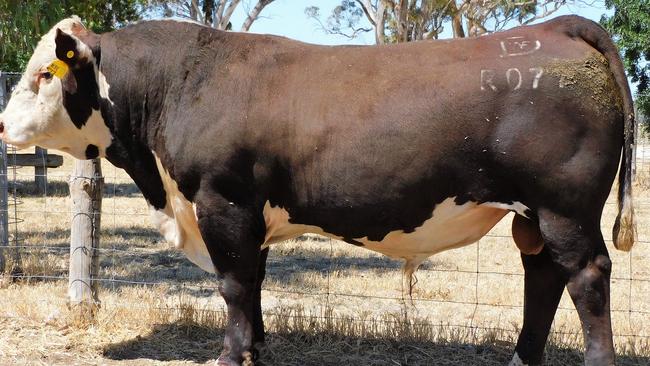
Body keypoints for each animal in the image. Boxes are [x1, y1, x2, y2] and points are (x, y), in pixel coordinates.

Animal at [0, 15, 636, 366]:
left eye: (43, 74)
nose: (3, 125)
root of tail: (554, 27)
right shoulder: (249, 215)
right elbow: (253, 283)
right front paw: (256, 349)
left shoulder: (222, 201)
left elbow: (234, 285)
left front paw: (229, 355)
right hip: (536, 217)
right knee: (543, 277)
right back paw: (520, 358)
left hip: (565, 208)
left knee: (586, 277)